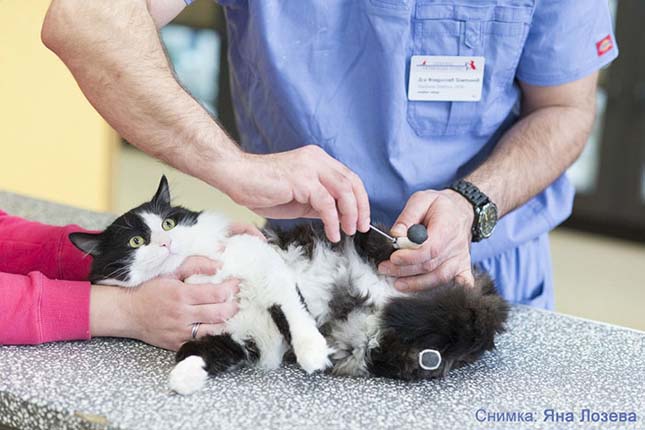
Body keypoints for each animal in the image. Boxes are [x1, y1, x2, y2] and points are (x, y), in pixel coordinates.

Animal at [69, 175, 508, 394]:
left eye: (169, 223)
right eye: (136, 242)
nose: (165, 242)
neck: (206, 272)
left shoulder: (268, 266)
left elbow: (294, 313)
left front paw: (312, 352)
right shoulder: (230, 333)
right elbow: (195, 351)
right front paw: (184, 380)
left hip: (382, 244)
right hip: (381, 348)